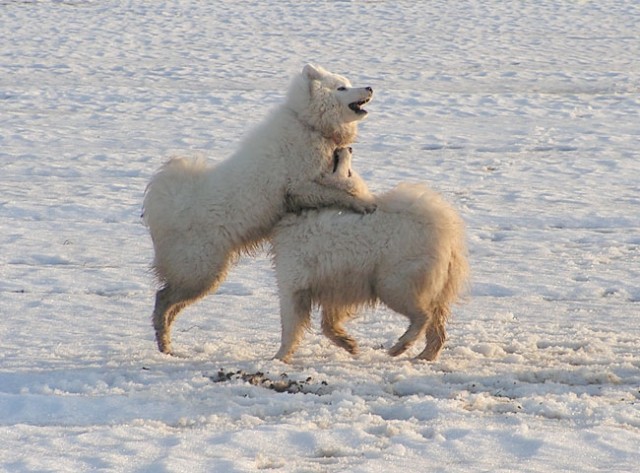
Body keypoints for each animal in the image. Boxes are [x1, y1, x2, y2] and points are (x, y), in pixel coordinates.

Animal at [141, 65, 376, 354]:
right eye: (341, 88)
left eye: (349, 83)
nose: (369, 87)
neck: (307, 124)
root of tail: (167, 203)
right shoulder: (299, 187)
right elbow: (338, 192)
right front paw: (363, 203)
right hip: (200, 272)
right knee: (162, 299)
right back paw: (165, 346)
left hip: (204, 275)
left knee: (170, 305)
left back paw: (167, 343)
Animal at [272, 148, 470, 362]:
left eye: (345, 168)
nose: (346, 148)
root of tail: (444, 230)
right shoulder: (337, 288)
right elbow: (328, 325)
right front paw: (348, 344)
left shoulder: (293, 286)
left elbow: (290, 328)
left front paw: (278, 358)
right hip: (427, 289)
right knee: (437, 331)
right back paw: (424, 356)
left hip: (392, 285)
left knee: (423, 317)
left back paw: (400, 346)